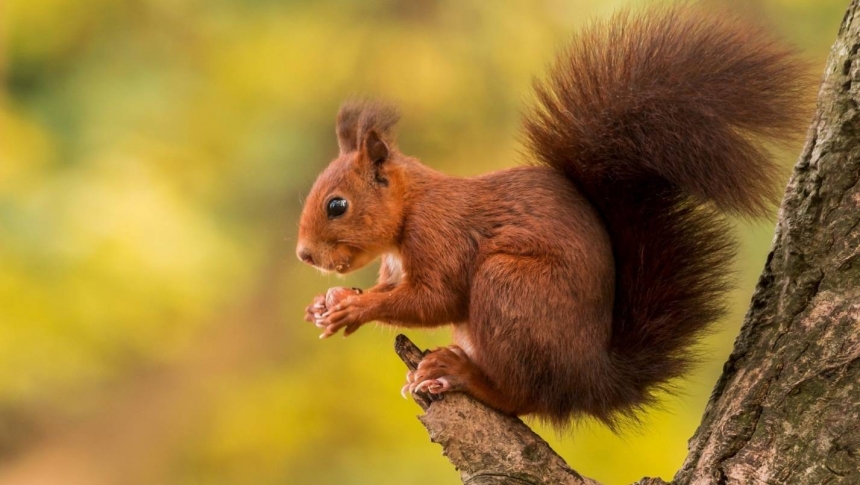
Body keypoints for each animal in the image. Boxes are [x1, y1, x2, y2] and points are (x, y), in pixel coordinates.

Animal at [298, 5, 812, 426]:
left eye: (337, 205)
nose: (304, 255)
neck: (411, 209)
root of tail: (588, 379)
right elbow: (392, 290)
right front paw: (329, 301)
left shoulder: (441, 235)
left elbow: (434, 299)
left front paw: (354, 308)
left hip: (511, 287)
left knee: (521, 397)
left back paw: (462, 373)